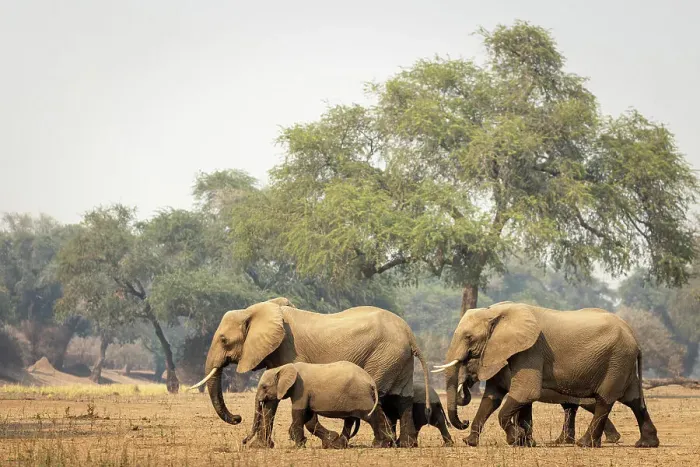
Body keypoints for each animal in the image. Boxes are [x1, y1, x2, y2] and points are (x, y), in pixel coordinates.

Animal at [242, 361, 391, 448]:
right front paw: (302, 441)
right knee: (355, 419)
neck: (285, 367)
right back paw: (340, 445)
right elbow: (307, 416)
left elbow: (298, 412)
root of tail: (371, 381)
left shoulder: (301, 389)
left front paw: (298, 445)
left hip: (360, 395)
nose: (243, 442)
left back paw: (379, 444)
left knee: (370, 417)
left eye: (264, 387)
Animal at [433, 301, 659, 448]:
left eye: (468, 337)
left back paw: (585, 444)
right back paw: (645, 444)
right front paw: (471, 442)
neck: (497, 312)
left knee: (603, 400)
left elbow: (525, 393)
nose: (463, 422)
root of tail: (634, 338)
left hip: (616, 360)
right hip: (623, 362)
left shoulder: (531, 350)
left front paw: (516, 440)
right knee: (634, 400)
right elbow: (494, 397)